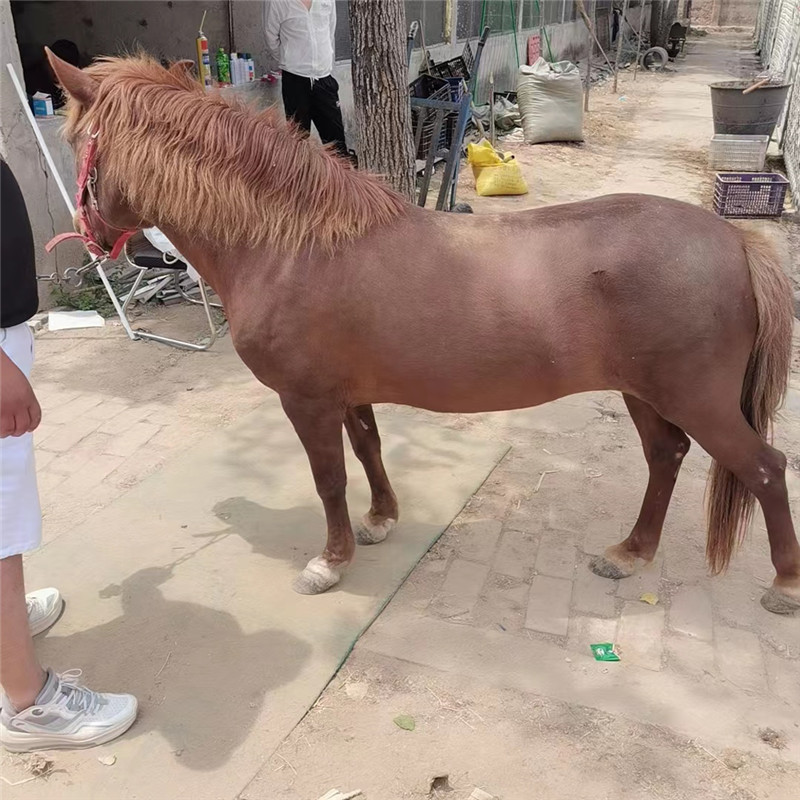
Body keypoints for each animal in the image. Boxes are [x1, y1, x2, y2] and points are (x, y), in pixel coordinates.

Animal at [44, 49, 800, 614]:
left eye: (78, 143)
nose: (91, 238)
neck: (290, 244)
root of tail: (736, 243)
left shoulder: (305, 400)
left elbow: (328, 479)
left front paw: (330, 562)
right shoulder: (346, 393)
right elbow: (369, 450)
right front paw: (381, 520)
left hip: (695, 398)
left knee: (764, 467)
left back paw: (784, 583)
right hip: (644, 393)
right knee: (666, 457)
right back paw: (631, 553)